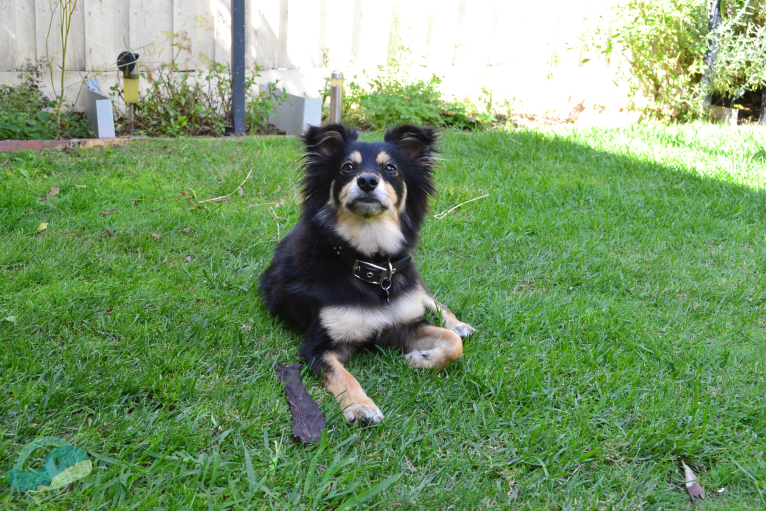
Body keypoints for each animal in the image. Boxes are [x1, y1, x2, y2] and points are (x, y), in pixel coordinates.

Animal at [262, 124, 474, 424]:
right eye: (347, 167)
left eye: (391, 168)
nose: (367, 181)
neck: (370, 263)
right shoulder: (318, 346)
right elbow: (343, 375)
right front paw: (361, 406)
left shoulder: (404, 324)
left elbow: (453, 344)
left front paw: (420, 358)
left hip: (412, 283)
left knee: (435, 303)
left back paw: (458, 324)